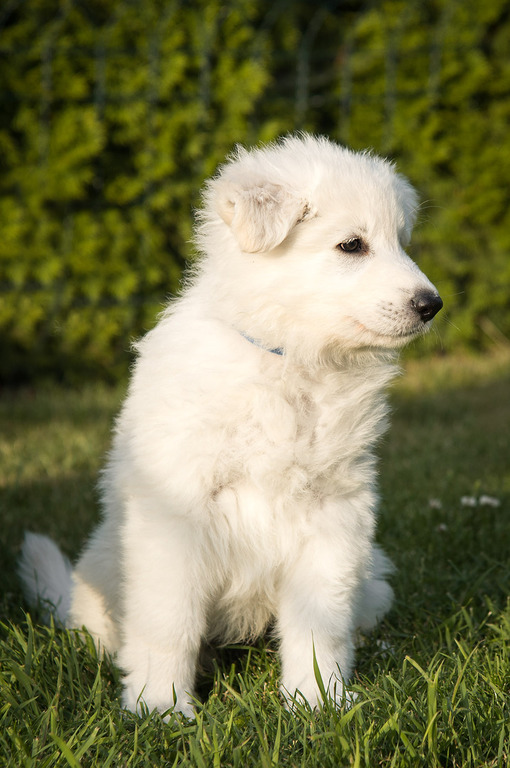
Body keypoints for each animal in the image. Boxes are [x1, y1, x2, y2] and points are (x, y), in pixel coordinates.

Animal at [19, 134, 442, 717]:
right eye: (352, 245)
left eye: (401, 242)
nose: (432, 305)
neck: (290, 360)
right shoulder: (178, 511)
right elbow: (168, 622)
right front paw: (162, 708)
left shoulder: (335, 512)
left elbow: (321, 621)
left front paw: (319, 702)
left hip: (372, 574)